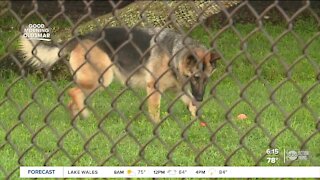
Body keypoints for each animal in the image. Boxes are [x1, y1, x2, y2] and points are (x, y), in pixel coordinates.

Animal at [20, 26, 220, 123]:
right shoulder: (154, 88)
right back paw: (84, 115)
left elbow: (191, 106)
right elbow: (155, 110)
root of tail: (82, 36)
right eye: (195, 77)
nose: (201, 98)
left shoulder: (180, 90)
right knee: (73, 92)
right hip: (102, 78)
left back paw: (77, 117)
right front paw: (157, 125)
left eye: (206, 79)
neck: (173, 53)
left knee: (73, 98)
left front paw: (197, 123)